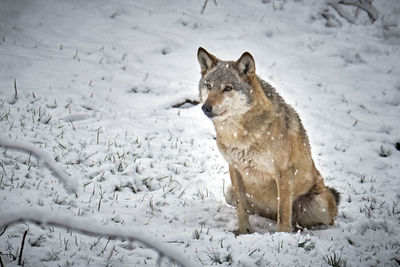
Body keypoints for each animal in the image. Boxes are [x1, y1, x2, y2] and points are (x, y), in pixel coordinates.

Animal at [195, 48, 340, 234]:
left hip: (319, 204)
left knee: (322, 221)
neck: (240, 135)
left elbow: (283, 214)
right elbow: (241, 209)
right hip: (229, 193)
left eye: (227, 88)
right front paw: (244, 232)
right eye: (209, 86)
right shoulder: (234, 168)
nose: (206, 107)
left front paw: (282, 237)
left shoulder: (283, 172)